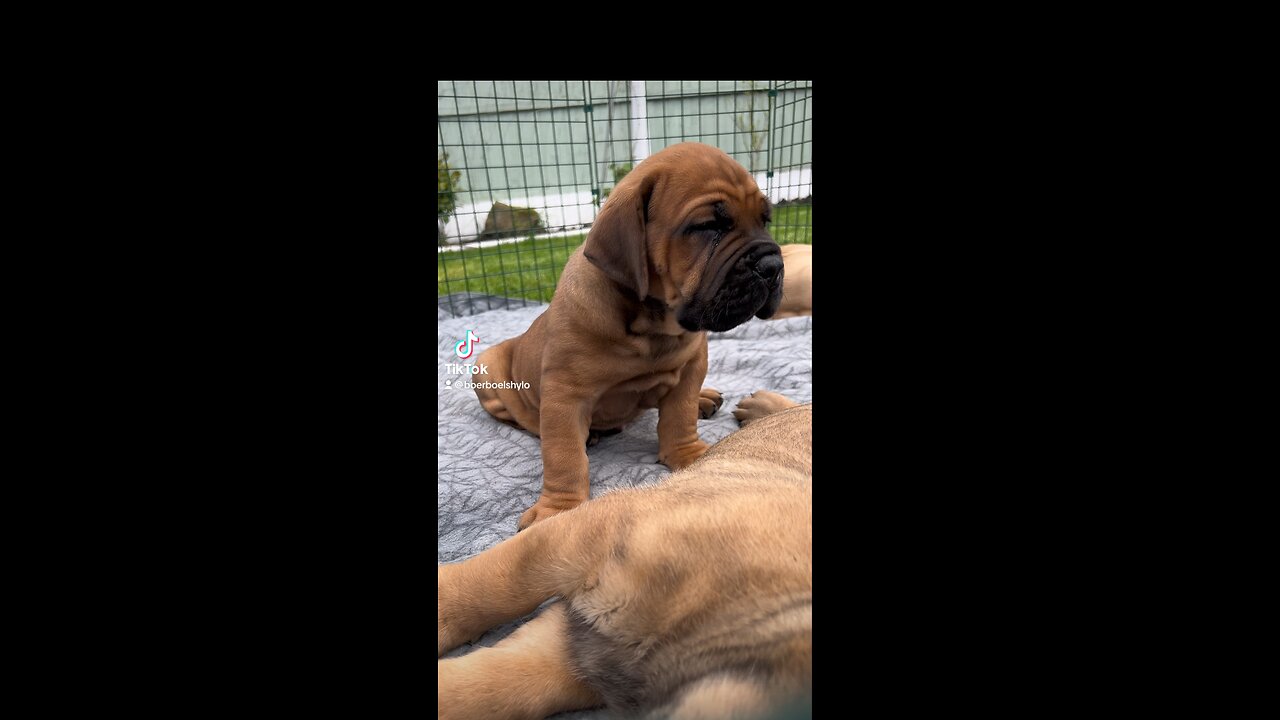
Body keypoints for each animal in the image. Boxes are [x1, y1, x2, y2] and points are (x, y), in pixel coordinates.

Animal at [476, 142, 783, 530]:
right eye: (707, 226)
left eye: (765, 220)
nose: (774, 266)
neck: (649, 324)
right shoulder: (564, 394)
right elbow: (563, 456)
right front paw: (558, 510)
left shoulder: (693, 365)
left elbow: (679, 415)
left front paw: (690, 453)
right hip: (486, 367)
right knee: (526, 420)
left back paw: (705, 399)